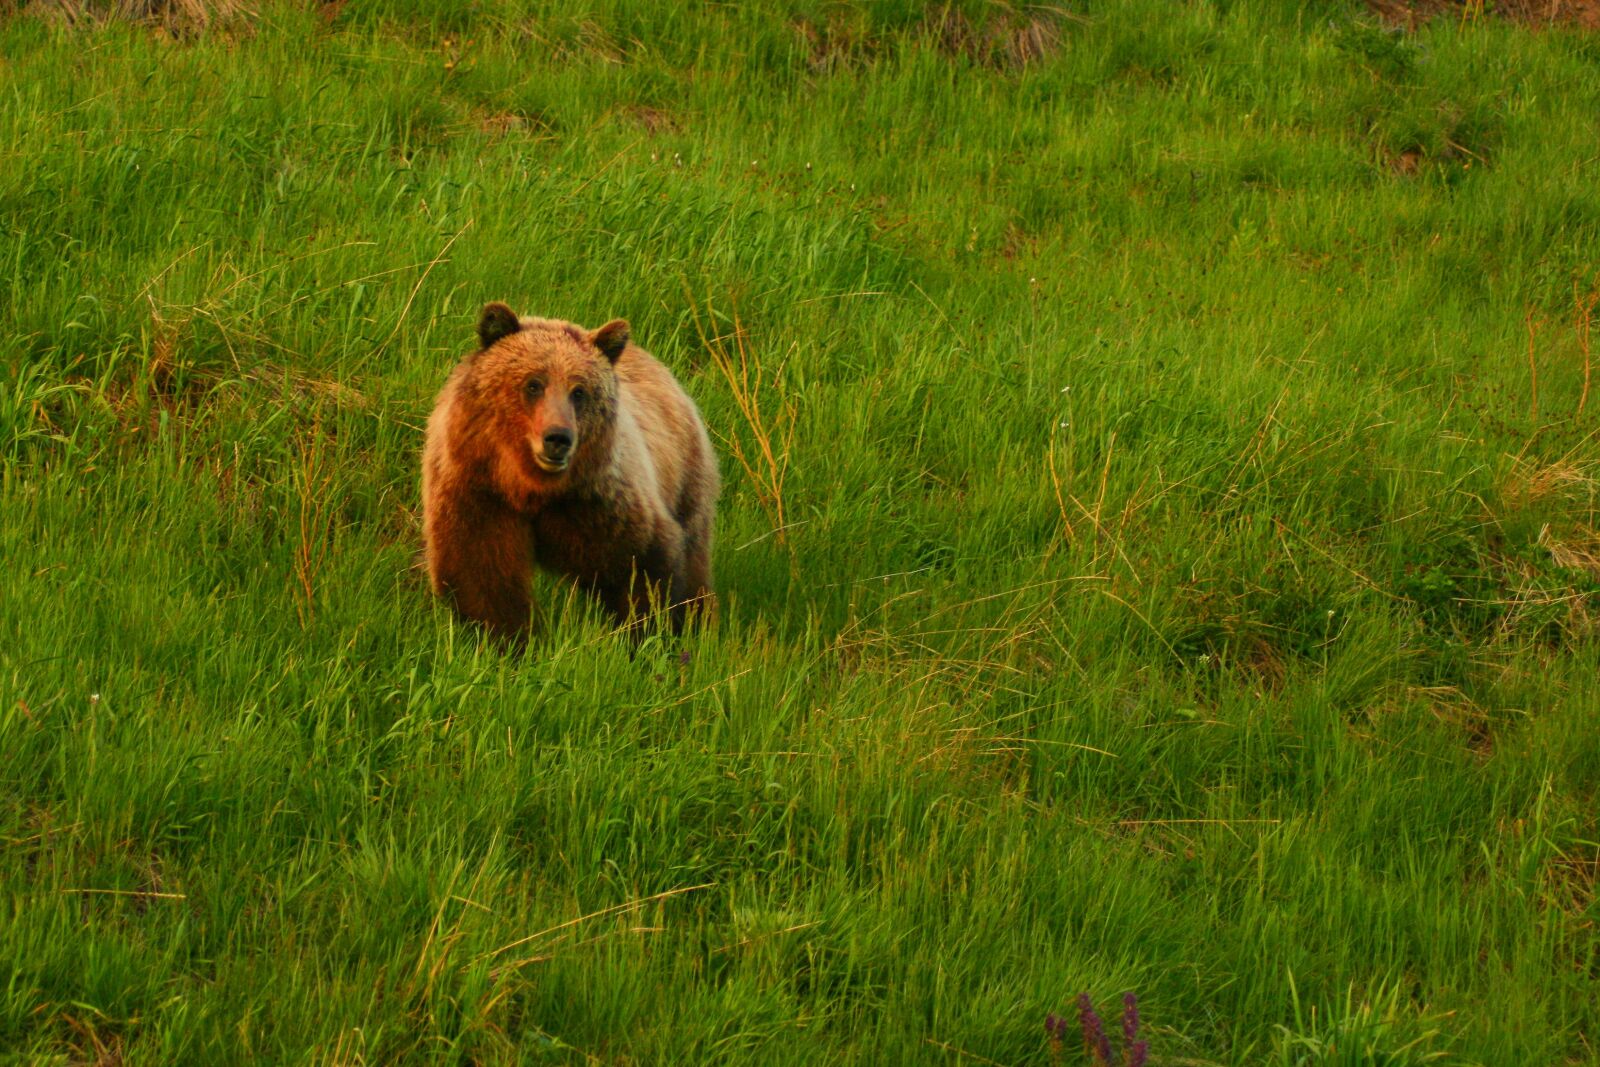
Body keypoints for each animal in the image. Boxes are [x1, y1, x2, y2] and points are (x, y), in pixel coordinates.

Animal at [422, 303, 719, 641]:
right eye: (533, 384)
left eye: (579, 392)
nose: (558, 438)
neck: (530, 487)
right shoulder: (478, 491)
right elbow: (483, 575)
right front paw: (507, 638)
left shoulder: (599, 502)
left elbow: (643, 564)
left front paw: (647, 632)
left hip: (687, 476)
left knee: (694, 556)